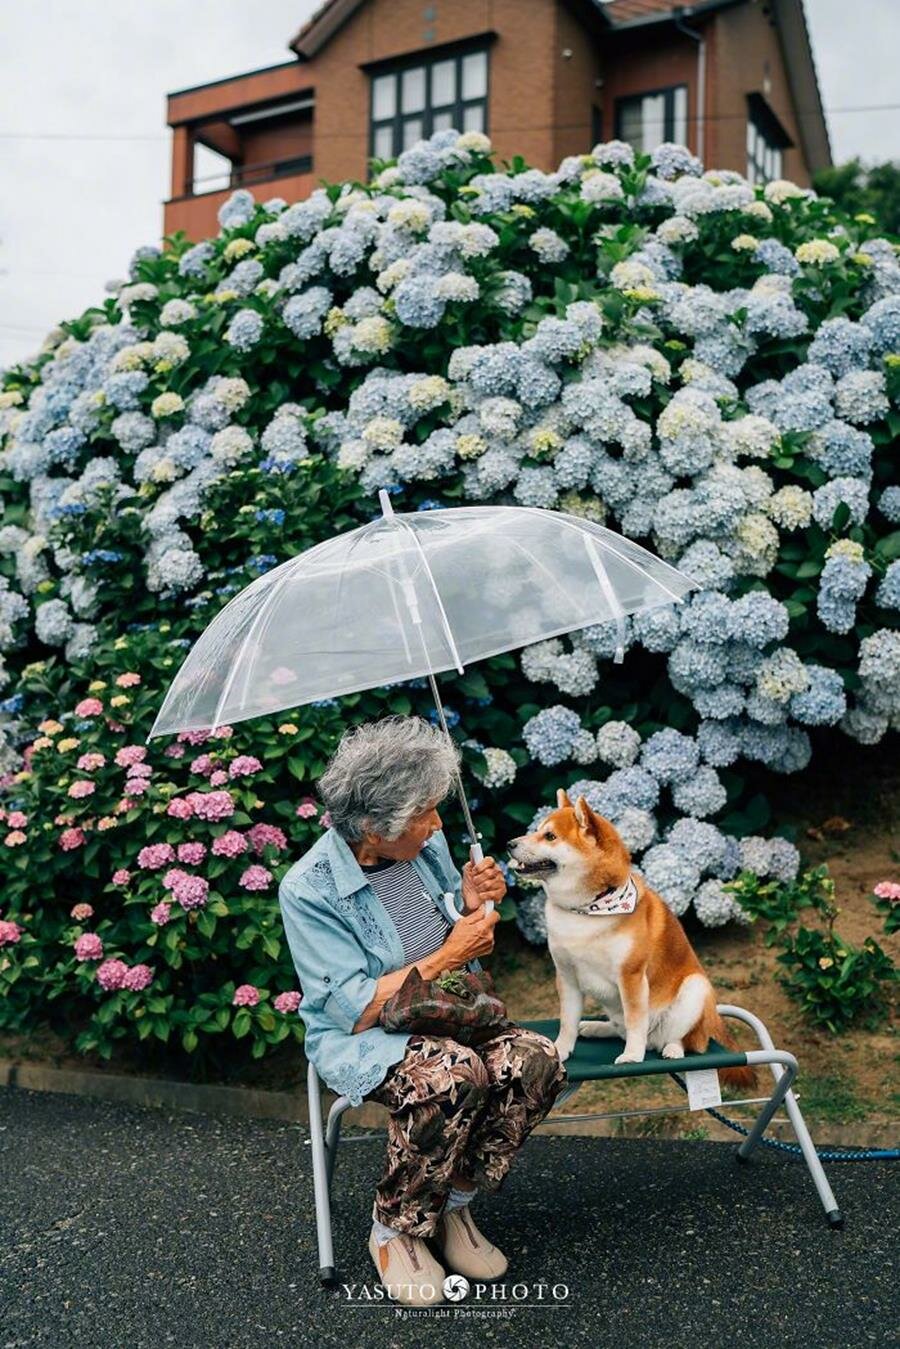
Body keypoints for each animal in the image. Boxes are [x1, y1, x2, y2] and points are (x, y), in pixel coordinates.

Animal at [510, 787, 755, 1084]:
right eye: (537, 830)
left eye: (550, 836)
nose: (510, 843)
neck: (587, 909)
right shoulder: (566, 975)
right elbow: (567, 1022)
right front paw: (560, 1051)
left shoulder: (631, 975)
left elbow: (636, 1021)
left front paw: (632, 1056)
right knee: (619, 1027)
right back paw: (594, 1027)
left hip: (695, 989)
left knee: (684, 1039)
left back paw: (673, 1049)